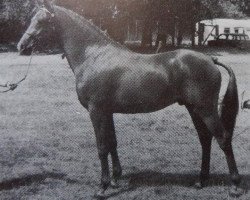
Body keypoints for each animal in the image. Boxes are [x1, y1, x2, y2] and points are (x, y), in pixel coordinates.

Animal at [17, 0, 242, 198]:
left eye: (42, 21)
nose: (21, 46)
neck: (94, 57)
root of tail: (211, 60)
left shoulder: (96, 111)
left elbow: (102, 147)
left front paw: (102, 187)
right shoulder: (107, 111)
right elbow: (112, 142)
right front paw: (116, 178)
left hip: (206, 109)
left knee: (222, 138)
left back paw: (235, 186)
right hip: (194, 108)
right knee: (205, 139)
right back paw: (201, 181)